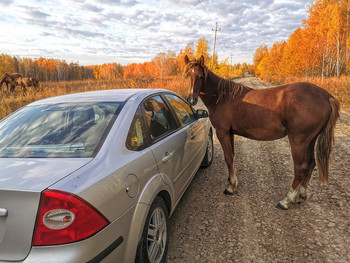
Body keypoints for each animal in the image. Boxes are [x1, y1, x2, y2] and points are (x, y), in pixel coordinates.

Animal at [183, 55, 340, 210]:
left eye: (201, 76)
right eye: (186, 75)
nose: (192, 99)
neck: (222, 97)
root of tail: (327, 96)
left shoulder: (222, 132)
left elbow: (228, 158)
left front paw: (231, 186)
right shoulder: (230, 133)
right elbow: (232, 156)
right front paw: (231, 180)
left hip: (299, 140)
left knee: (301, 167)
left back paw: (287, 200)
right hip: (310, 140)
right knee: (311, 163)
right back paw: (301, 196)